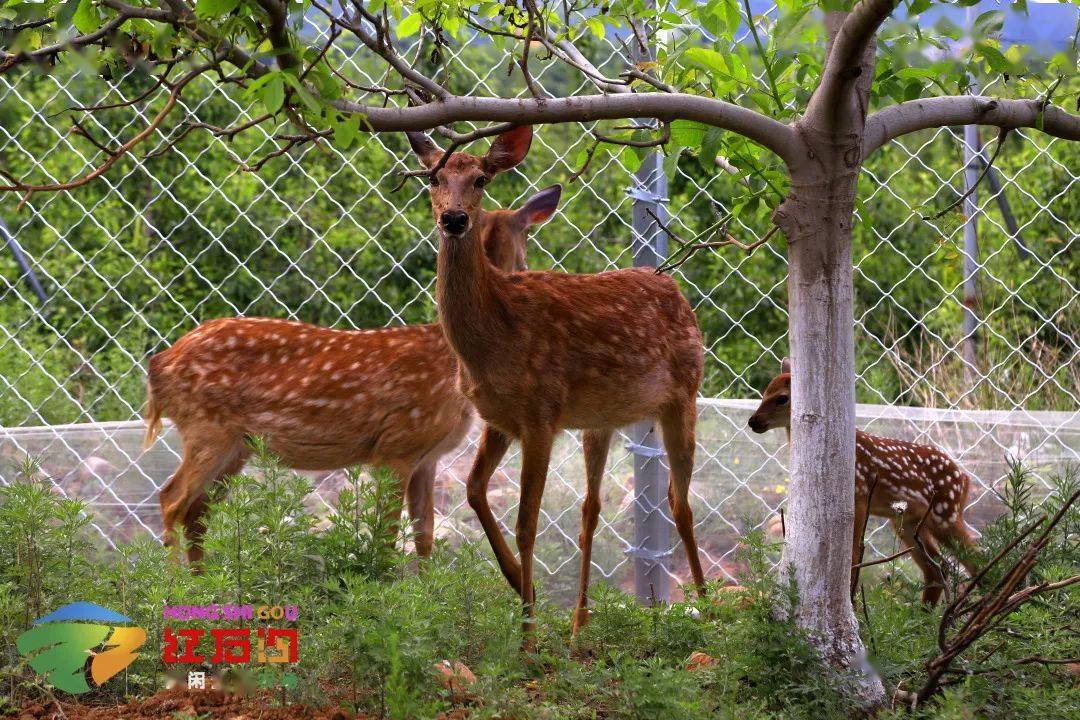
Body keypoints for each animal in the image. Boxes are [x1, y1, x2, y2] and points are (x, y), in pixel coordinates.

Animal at [143, 176, 564, 567]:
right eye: (527, 236)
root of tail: (158, 365)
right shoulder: (396, 445)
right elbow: (387, 537)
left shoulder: (427, 456)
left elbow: (425, 537)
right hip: (206, 427)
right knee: (171, 500)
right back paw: (175, 585)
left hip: (236, 445)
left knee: (197, 511)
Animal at [407, 125, 707, 650]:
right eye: (433, 176)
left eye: (481, 179)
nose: (455, 218)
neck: (491, 337)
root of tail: (678, 293)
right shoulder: (499, 418)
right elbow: (474, 489)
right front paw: (515, 582)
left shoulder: (540, 413)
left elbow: (527, 523)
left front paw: (527, 635)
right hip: (601, 420)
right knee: (592, 508)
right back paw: (579, 624)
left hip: (683, 396)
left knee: (680, 503)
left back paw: (708, 613)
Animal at [747, 358, 979, 605]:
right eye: (764, 393)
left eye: (782, 398)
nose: (753, 421)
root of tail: (965, 478)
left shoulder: (858, 496)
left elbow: (853, 554)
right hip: (907, 522)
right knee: (938, 567)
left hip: (945, 513)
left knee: (975, 558)